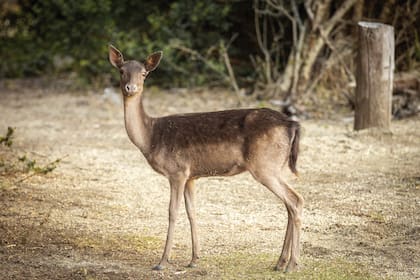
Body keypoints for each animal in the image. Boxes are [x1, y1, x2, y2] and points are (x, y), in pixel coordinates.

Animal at [108, 44, 304, 272]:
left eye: (144, 73)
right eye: (121, 71)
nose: (130, 88)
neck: (151, 137)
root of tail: (292, 124)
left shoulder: (177, 171)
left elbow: (172, 212)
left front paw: (162, 262)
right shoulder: (191, 176)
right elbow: (192, 212)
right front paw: (194, 259)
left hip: (264, 165)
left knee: (295, 200)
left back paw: (292, 264)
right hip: (275, 166)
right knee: (289, 204)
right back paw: (280, 262)